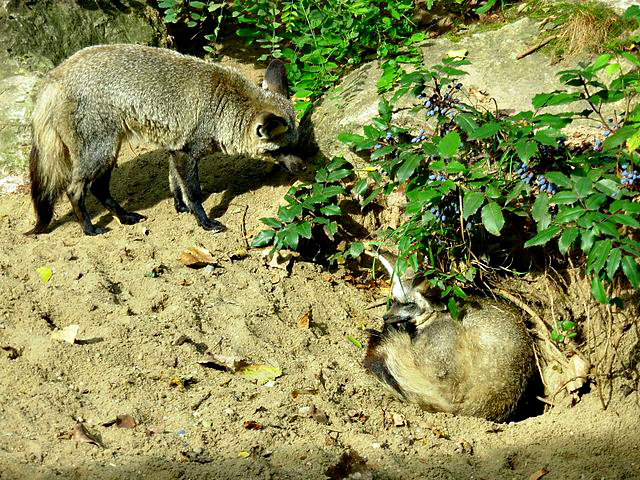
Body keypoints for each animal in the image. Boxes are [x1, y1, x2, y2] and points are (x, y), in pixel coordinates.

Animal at [26, 43, 304, 236]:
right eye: (281, 149)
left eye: (297, 144)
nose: (303, 168)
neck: (221, 105)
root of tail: (54, 75)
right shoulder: (186, 152)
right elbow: (193, 192)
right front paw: (203, 220)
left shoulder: (175, 148)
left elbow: (175, 183)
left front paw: (179, 206)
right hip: (100, 152)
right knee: (74, 190)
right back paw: (89, 229)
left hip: (108, 152)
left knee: (98, 188)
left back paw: (124, 217)